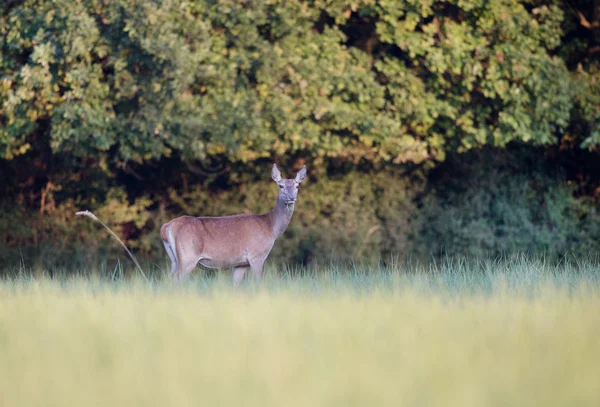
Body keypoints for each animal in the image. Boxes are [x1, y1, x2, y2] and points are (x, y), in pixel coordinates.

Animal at [159, 164, 308, 286]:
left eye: (297, 186)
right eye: (281, 185)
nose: (292, 198)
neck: (270, 227)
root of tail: (166, 227)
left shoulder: (241, 264)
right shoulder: (257, 255)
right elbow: (258, 282)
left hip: (174, 259)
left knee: (170, 278)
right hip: (188, 255)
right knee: (178, 279)